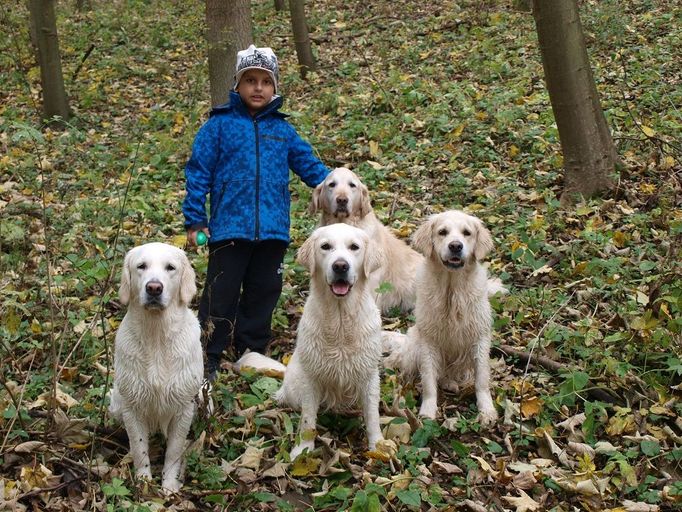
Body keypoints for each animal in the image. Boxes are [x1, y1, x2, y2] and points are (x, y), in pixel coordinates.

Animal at [109, 243, 203, 492]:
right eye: (141, 266)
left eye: (170, 267)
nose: (153, 288)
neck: (156, 336)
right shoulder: (132, 407)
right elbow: (139, 448)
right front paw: (143, 482)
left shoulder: (183, 408)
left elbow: (174, 451)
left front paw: (169, 484)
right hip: (116, 400)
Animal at [274, 224, 382, 456]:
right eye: (325, 246)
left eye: (354, 247)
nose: (340, 266)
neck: (340, 322)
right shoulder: (311, 378)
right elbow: (307, 419)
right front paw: (302, 450)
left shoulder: (369, 375)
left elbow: (373, 415)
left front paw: (378, 446)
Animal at [382, 210, 500, 426]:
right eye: (442, 232)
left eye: (467, 233)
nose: (455, 246)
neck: (451, 291)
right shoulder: (429, 341)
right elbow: (429, 380)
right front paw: (427, 411)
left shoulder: (480, 338)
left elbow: (481, 380)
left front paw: (487, 410)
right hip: (414, 346)